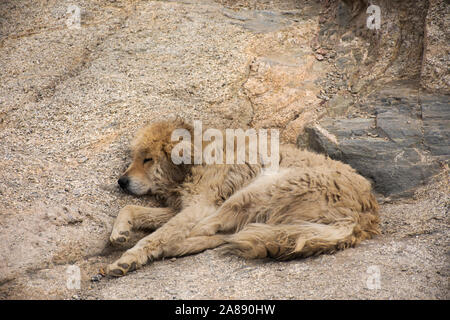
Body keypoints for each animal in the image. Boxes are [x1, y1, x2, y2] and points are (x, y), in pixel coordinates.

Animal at [106, 119, 380, 276]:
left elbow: (157, 236)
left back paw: (174, 247)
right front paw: (120, 231)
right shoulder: (182, 207)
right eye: (135, 157)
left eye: (147, 159)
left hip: (257, 189)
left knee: (213, 230)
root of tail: (363, 216)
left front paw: (129, 258)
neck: (200, 158)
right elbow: (131, 209)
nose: (121, 181)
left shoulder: (199, 208)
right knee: (229, 234)